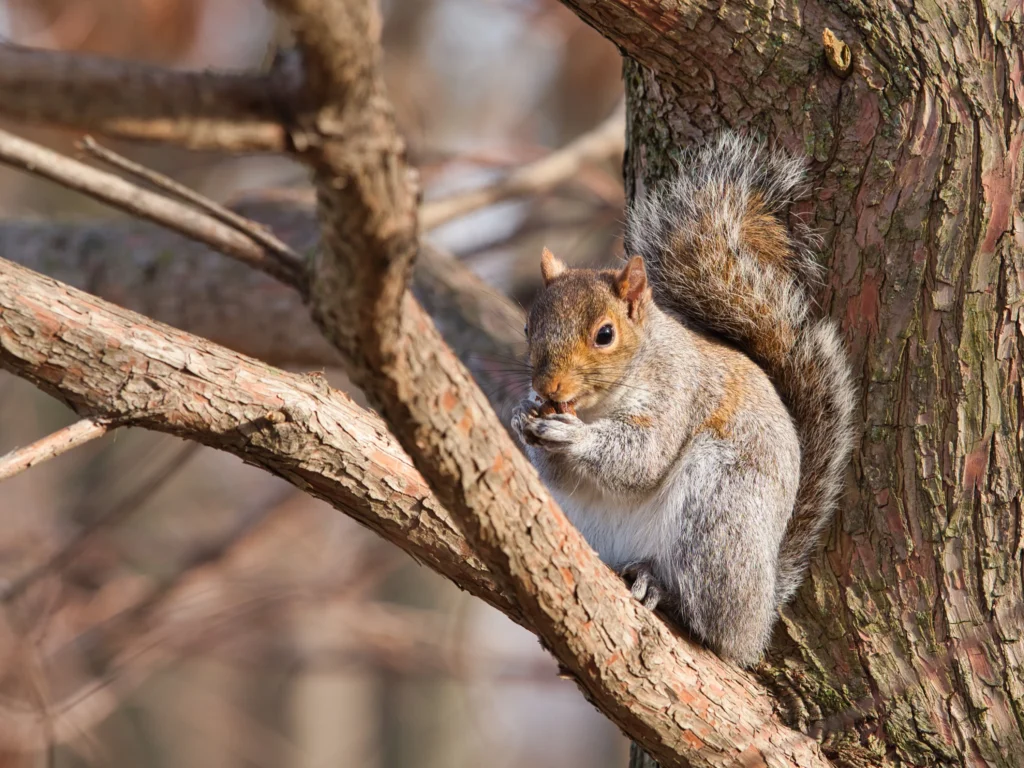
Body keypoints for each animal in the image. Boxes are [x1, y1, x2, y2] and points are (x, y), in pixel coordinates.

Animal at [510, 133, 855, 667]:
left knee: (713, 623)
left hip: (717, 514)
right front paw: (522, 419)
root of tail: (761, 612)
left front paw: (573, 437)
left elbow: (642, 459)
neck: (600, 405)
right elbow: (560, 473)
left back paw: (661, 587)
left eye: (605, 334)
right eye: (529, 328)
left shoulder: (678, 393)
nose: (549, 390)